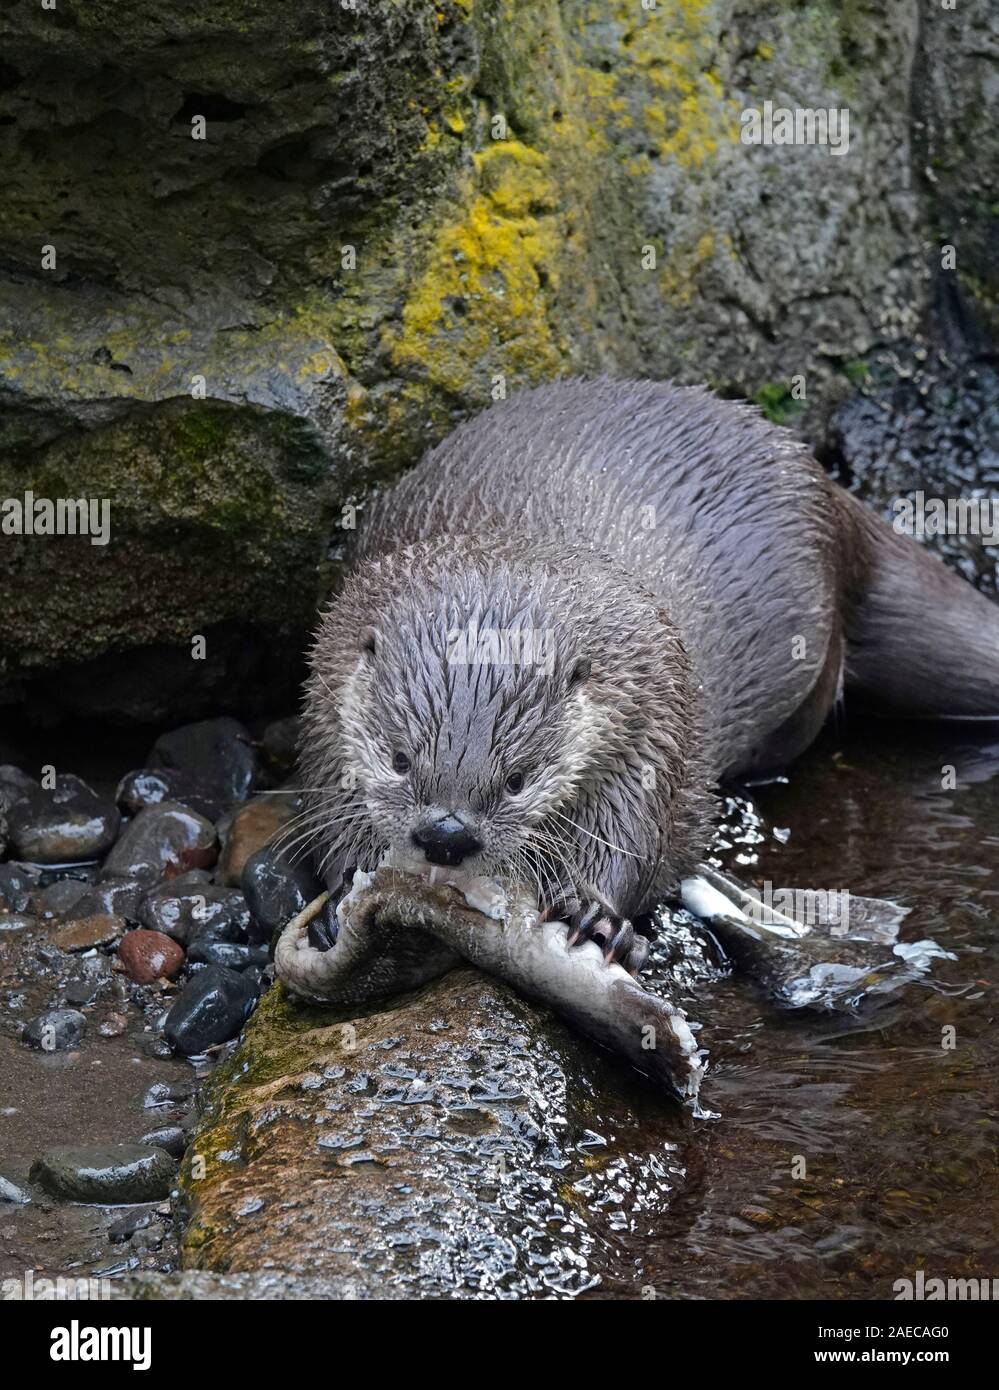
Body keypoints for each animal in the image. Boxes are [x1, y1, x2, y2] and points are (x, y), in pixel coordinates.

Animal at [297, 375, 999, 973]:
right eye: (398, 760)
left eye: (518, 779)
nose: (446, 833)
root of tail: (827, 491)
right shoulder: (325, 699)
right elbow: (329, 805)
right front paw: (344, 890)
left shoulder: (654, 718)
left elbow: (636, 837)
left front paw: (593, 913)